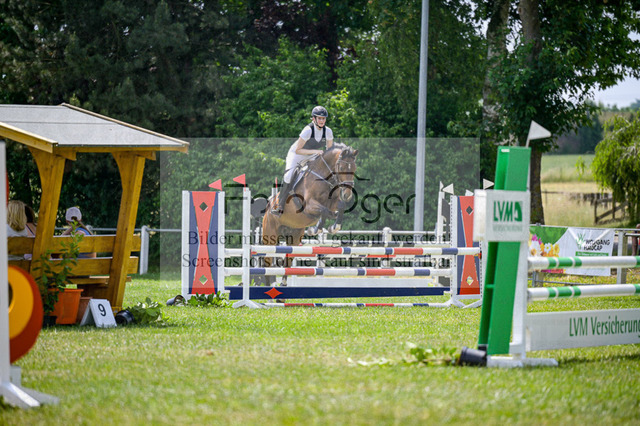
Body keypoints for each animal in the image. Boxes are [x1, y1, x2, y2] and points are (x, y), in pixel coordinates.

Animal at [261, 143, 358, 283]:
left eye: (354, 168)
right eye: (341, 167)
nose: (347, 195)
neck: (323, 177)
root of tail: (268, 210)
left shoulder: (333, 202)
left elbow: (340, 206)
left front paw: (334, 226)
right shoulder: (308, 205)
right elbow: (324, 211)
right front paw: (316, 229)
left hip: (294, 238)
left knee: (287, 261)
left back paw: (283, 283)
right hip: (270, 238)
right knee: (268, 264)